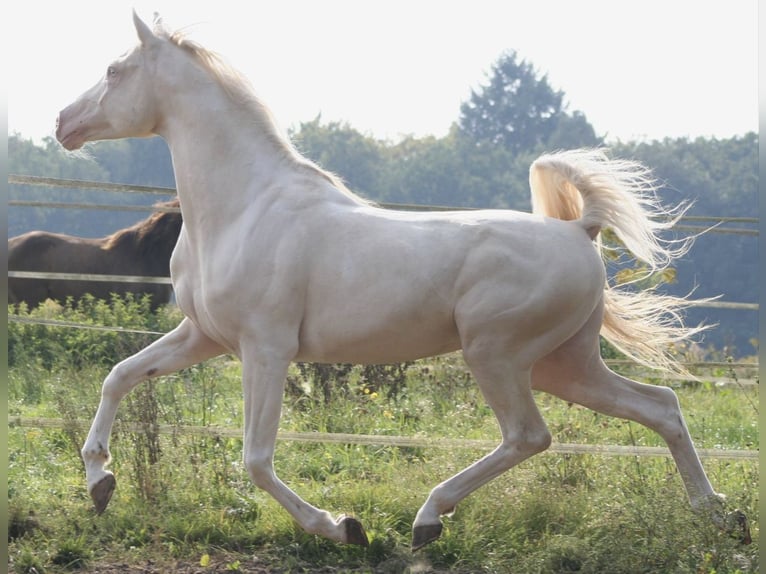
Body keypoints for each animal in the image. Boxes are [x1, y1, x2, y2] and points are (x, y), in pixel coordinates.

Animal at [54, 11, 749, 550]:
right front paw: (99, 483)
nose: (62, 122)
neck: (243, 208)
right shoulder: (204, 336)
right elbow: (119, 375)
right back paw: (719, 515)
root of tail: (581, 230)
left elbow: (255, 458)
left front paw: (342, 527)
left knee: (530, 435)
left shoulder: (265, 348)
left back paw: (428, 519)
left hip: (497, 354)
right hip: (564, 364)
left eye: (114, 71)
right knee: (660, 407)